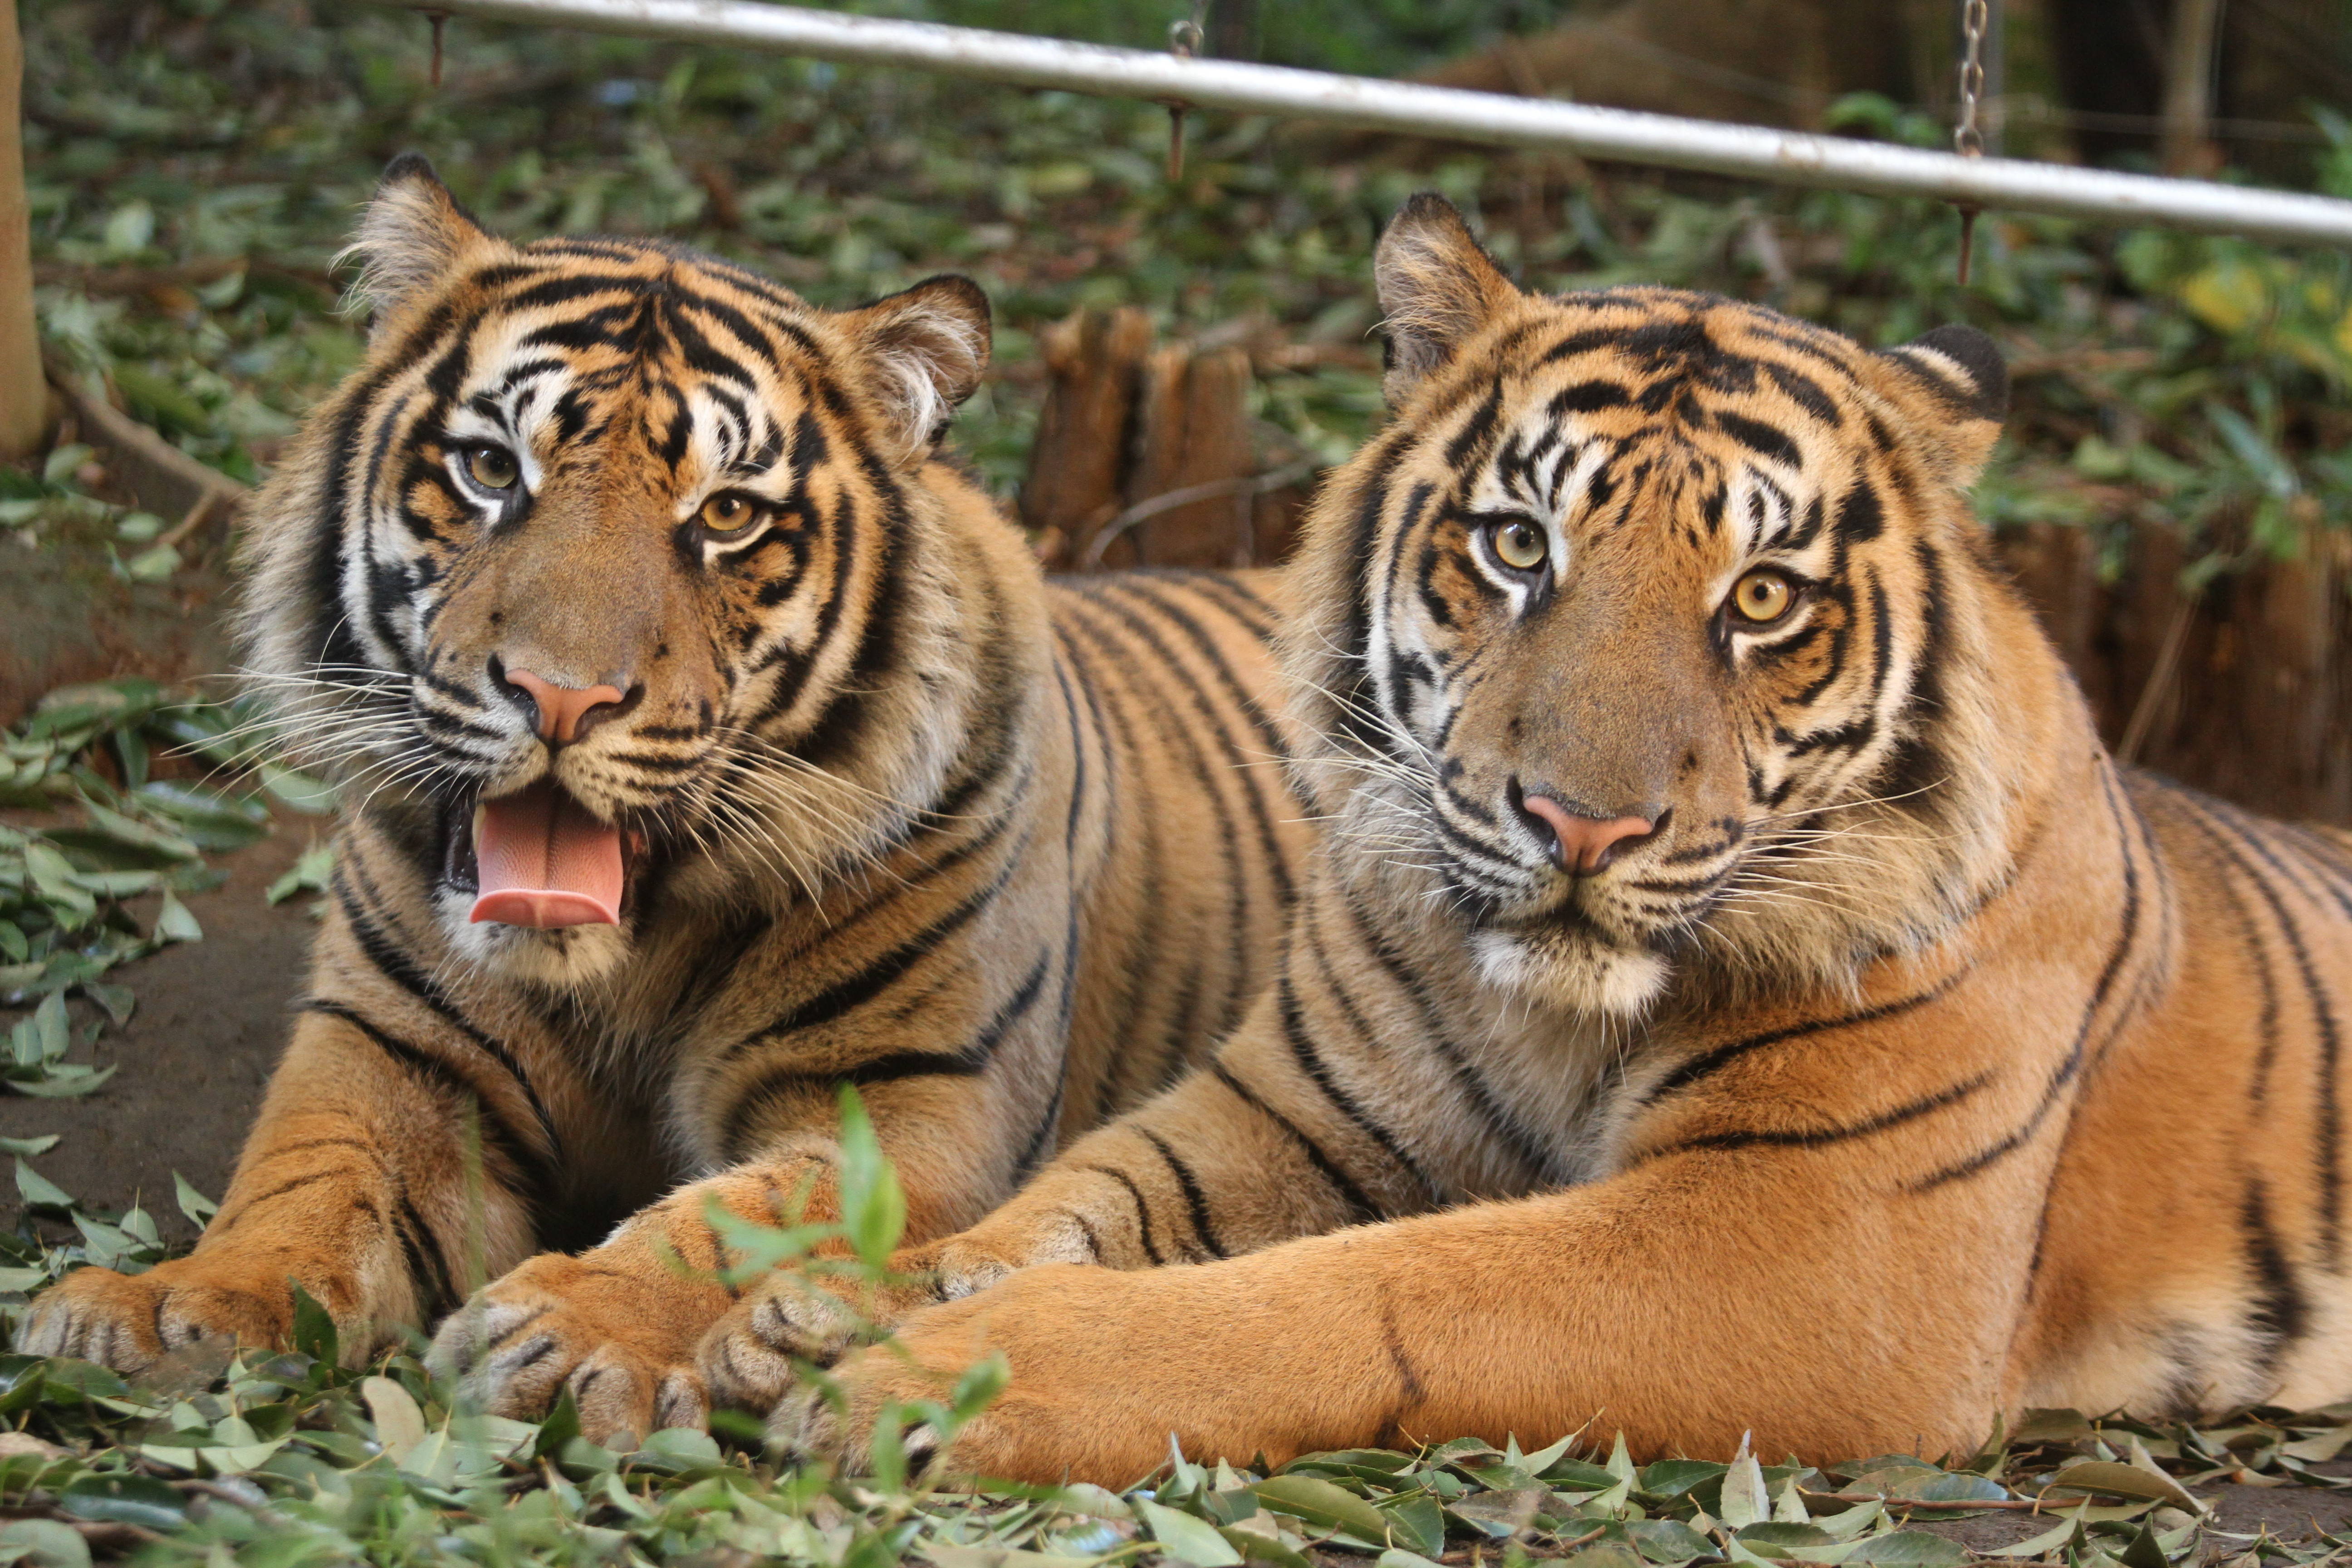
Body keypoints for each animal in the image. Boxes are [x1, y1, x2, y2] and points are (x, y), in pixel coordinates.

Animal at [18, 160, 1317, 1448]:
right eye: (492, 470)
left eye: (728, 515)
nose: (560, 696)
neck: (624, 966)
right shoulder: (393, 1054)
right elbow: (301, 1185)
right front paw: (165, 1307)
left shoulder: (911, 1102)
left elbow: (727, 1219)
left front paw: (573, 1331)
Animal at [762, 192, 2352, 1485]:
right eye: (1519, 545)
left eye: (1763, 598)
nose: (1584, 825)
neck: (1550, 1018)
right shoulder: (1297, 1111)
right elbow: (1071, 1199)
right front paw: (822, 1307)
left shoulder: (1819, 1237)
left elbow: (1383, 1286)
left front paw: (945, 1379)